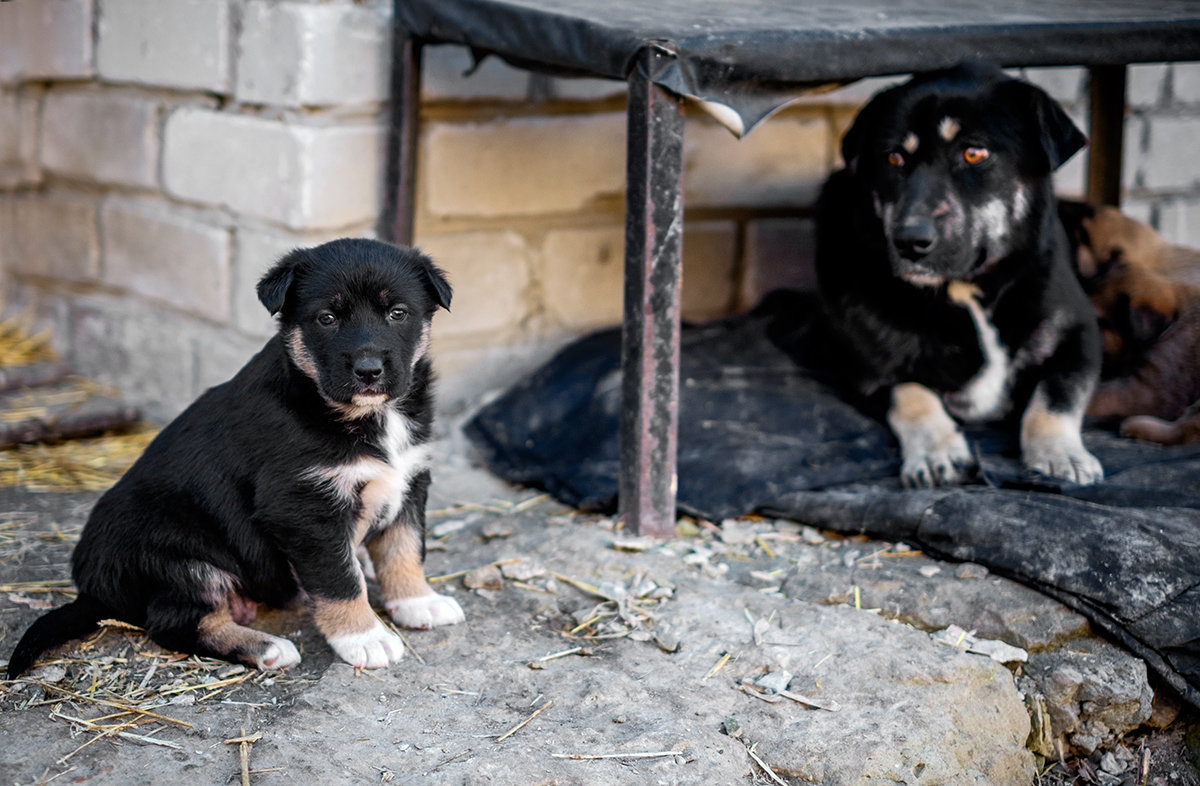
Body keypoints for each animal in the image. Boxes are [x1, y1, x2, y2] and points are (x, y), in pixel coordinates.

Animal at [7, 238, 460, 676]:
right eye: (327, 318)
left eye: (398, 313)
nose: (368, 370)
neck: (363, 415)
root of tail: (92, 588)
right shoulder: (304, 509)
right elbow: (339, 580)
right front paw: (365, 637)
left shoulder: (409, 481)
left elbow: (405, 547)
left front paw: (418, 600)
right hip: (179, 558)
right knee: (174, 624)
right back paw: (267, 647)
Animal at [816, 64, 1104, 489]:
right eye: (894, 158)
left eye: (974, 153)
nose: (909, 242)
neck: (968, 291)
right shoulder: (867, 370)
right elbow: (913, 393)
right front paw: (938, 452)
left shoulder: (1080, 334)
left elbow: (1056, 394)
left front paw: (1059, 453)